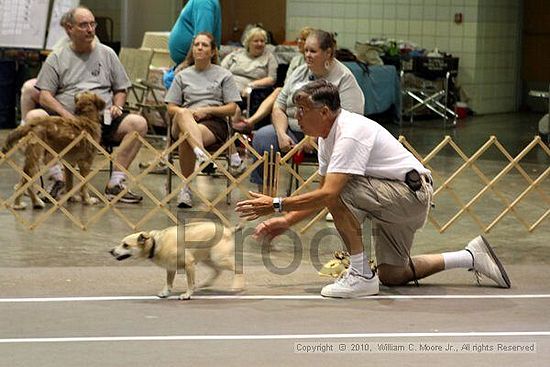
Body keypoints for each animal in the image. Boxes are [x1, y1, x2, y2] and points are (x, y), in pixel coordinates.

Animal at [110, 223, 246, 300]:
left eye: (125, 245)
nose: (111, 251)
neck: (155, 243)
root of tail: (228, 230)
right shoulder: (170, 269)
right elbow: (168, 283)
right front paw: (165, 292)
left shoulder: (189, 264)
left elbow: (190, 283)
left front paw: (187, 294)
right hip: (209, 259)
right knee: (217, 272)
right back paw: (204, 284)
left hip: (219, 258)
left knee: (238, 268)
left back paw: (237, 286)